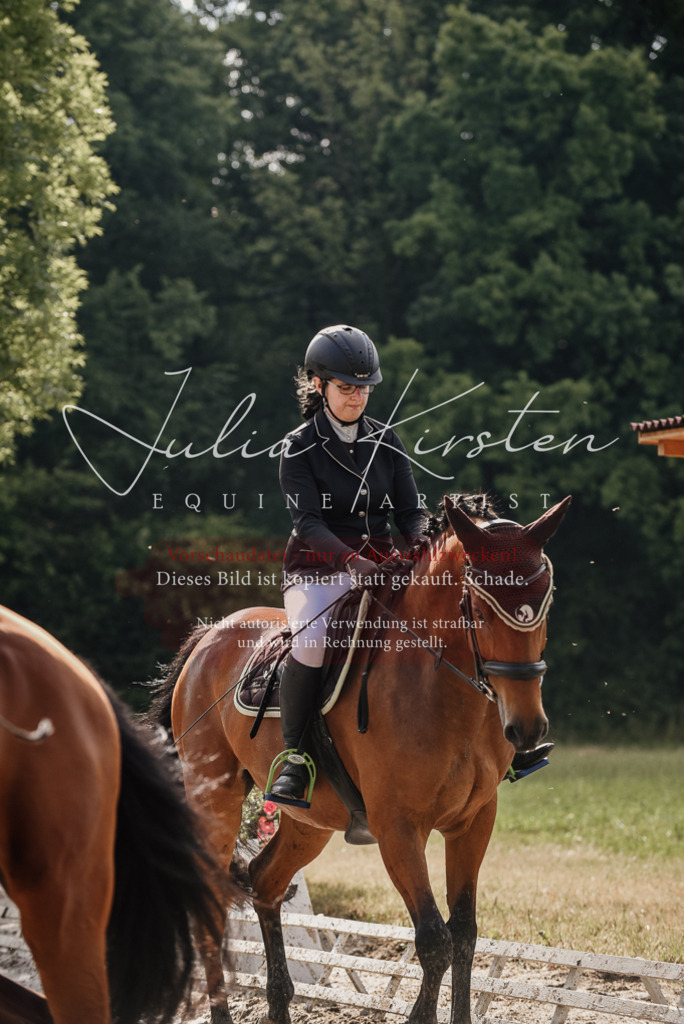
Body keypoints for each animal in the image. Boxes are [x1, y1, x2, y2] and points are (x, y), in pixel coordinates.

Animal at [153, 493, 571, 1024]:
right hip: (217, 798)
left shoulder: (473, 821)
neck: (443, 692)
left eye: (545, 600)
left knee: (265, 881)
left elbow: (464, 934)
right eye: (479, 606)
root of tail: (208, 636)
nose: (527, 728)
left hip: (309, 820)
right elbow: (433, 939)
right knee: (212, 898)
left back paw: (279, 1001)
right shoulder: (397, 827)